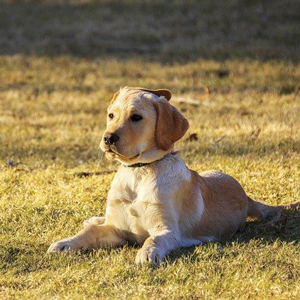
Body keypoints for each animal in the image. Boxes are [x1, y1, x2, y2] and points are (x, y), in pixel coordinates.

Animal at [48, 86, 298, 264]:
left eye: (136, 117)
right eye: (111, 115)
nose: (108, 138)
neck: (138, 173)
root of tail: (246, 197)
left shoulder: (167, 230)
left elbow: (153, 238)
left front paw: (147, 253)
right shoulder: (117, 229)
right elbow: (89, 232)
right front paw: (65, 243)